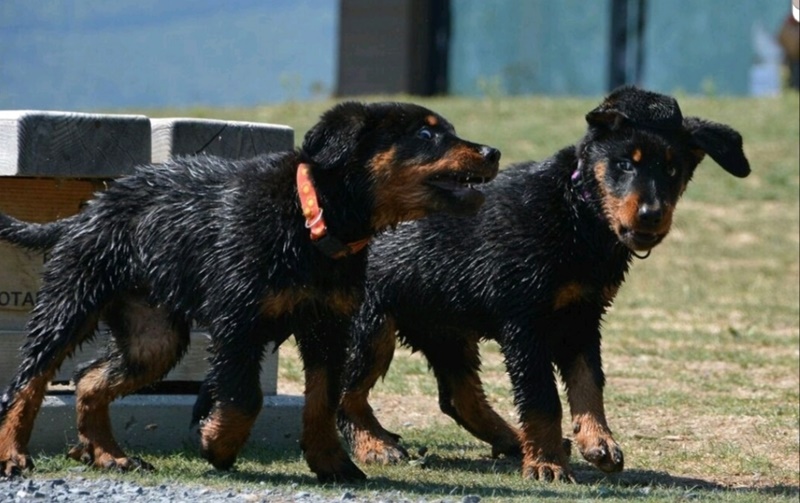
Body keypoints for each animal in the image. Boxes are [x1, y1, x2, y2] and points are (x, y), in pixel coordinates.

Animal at [0, 100, 500, 482]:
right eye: (426, 134)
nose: (493, 151)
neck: (309, 220)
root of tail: (89, 209)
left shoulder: (329, 327)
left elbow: (323, 400)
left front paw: (331, 463)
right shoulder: (237, 320)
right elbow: (244, 396)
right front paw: (217, 444)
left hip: (153, 334)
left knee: (89, 379)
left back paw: (108, 454)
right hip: (71, 300)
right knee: (29, 380)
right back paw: (13, 454)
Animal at [338, 87, 752, 484]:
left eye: (672, 169)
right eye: (624, 164)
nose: (652, 215)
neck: (578, 215)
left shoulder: (581, 317)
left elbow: (589, 382)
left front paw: (597, 441)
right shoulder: (525, 321)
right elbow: (542, 398)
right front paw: (547, 464)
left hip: (445, 324)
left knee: (458, 396)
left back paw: (511, 440)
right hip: (370, 325)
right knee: (346, 392)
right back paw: (374, 445)